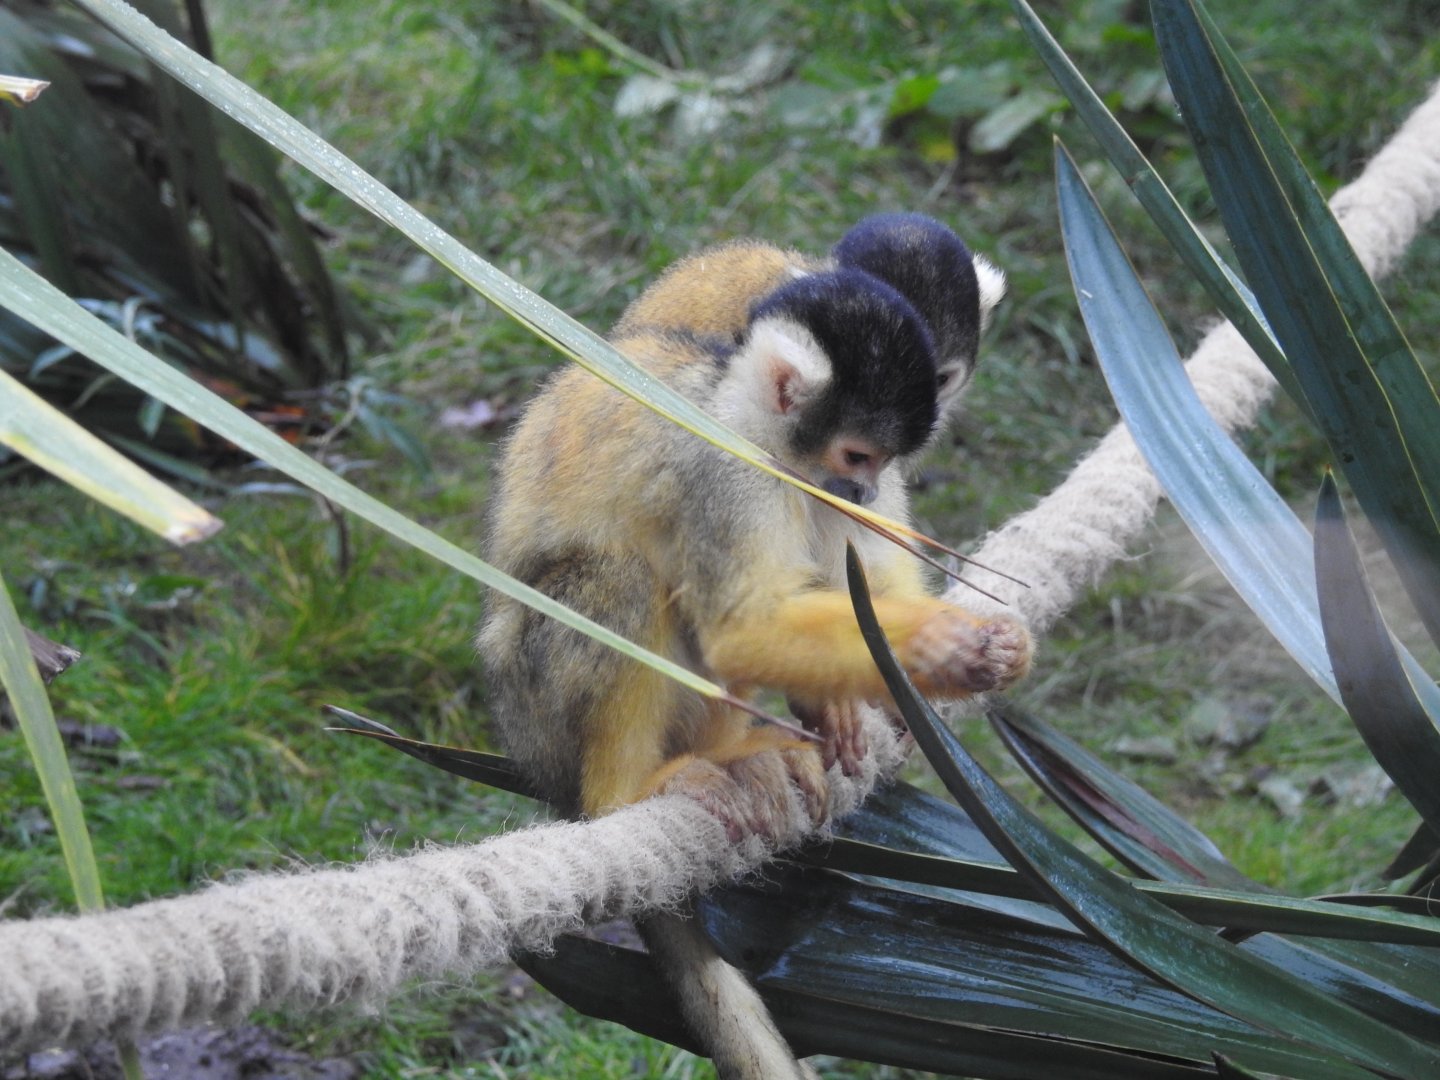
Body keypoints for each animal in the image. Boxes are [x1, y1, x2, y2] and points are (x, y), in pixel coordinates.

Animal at [478, 265, 1030, 1077]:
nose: (865, 490)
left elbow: (855, 577)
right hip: (533, 709)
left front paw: (987, 648)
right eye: (858, 455)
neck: (738, 417)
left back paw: (737, 752)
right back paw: (624, 791)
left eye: (883, 462)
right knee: (623, 580)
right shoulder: (731, 473)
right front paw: (939, 645)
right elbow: (742, 627)